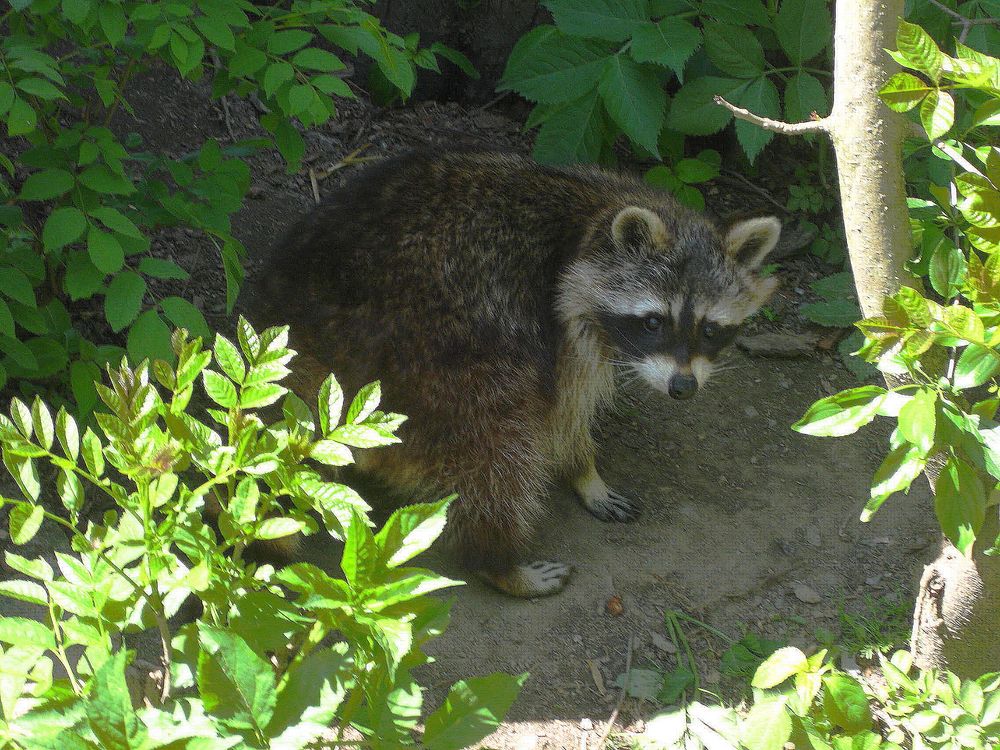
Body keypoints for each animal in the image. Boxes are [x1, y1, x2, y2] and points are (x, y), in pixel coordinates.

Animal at [248, 150, 780, 600]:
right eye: (654, 322)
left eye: (710, 329)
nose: (682, 388)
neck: (596, 215)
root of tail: (299, 326)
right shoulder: (561, 322)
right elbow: (563, 413)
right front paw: (582, 468)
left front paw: (585, 473)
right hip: (432, 354)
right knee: (497, 445)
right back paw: (497, 561)